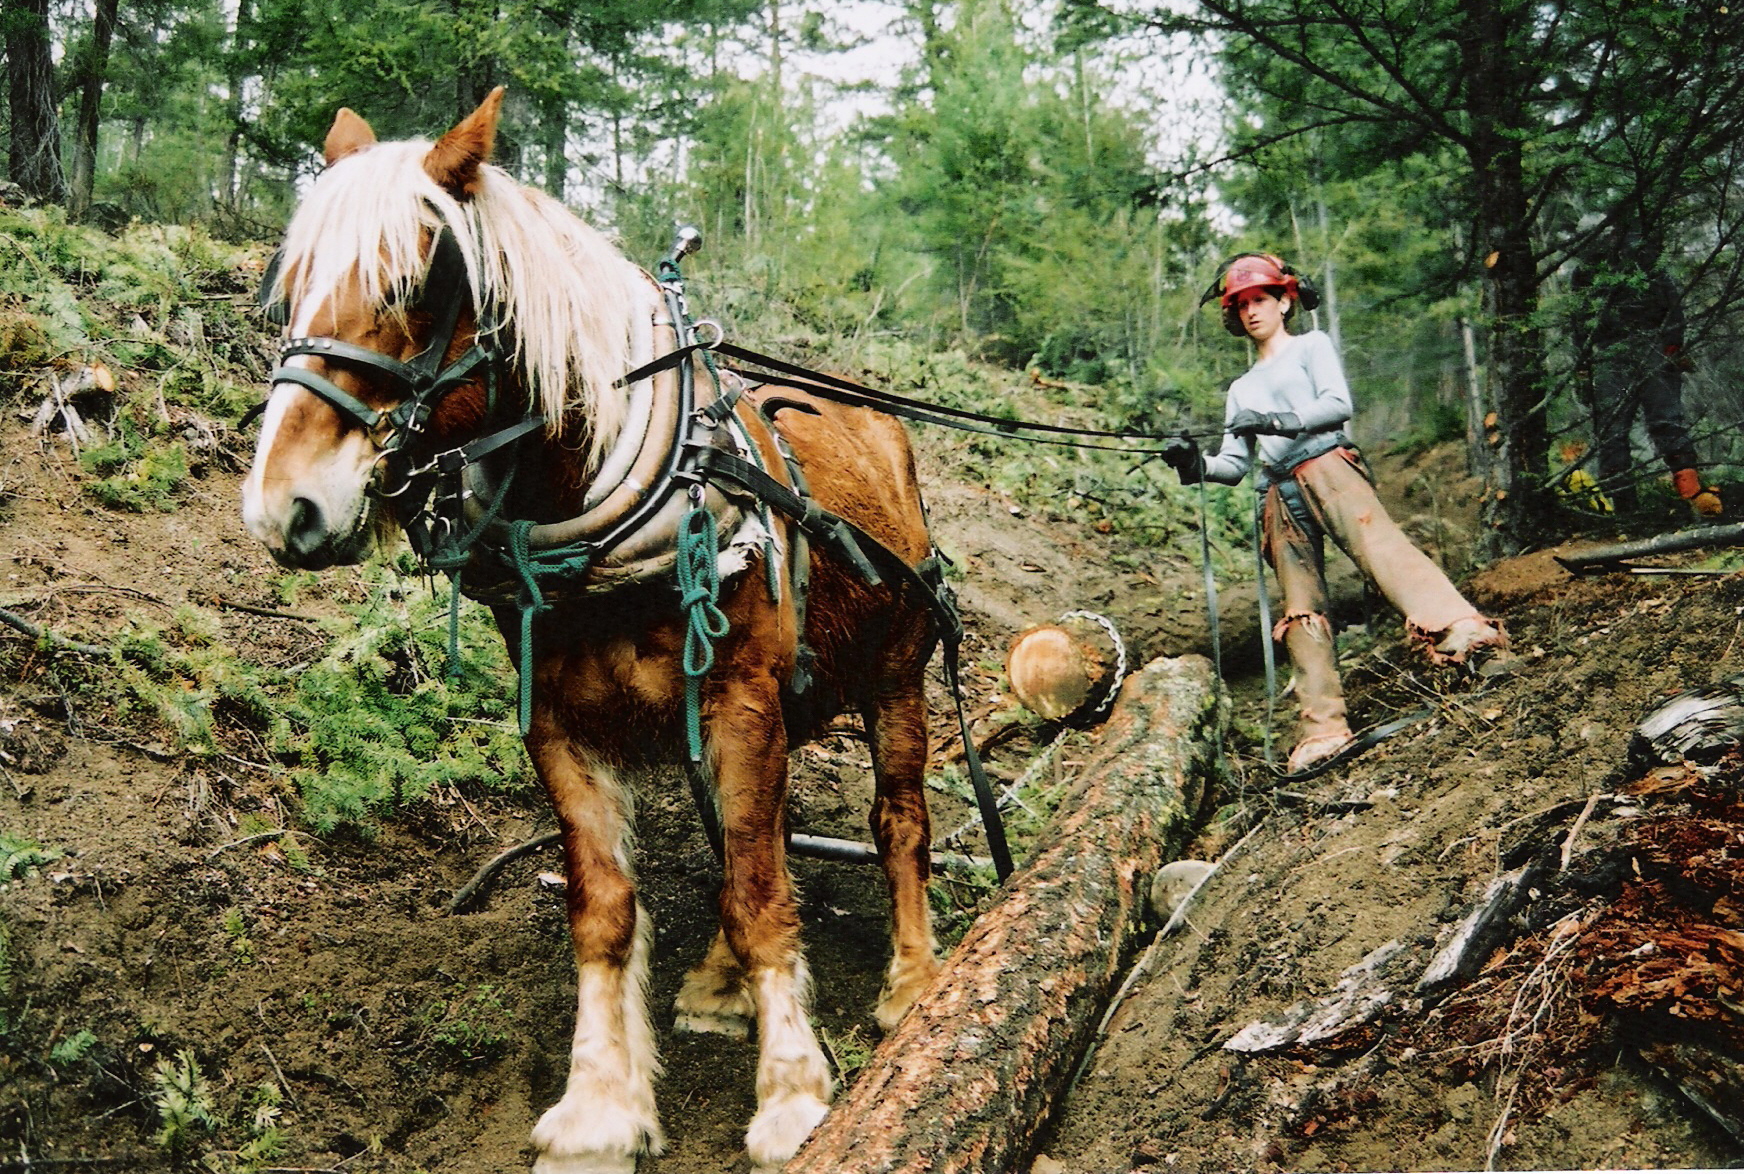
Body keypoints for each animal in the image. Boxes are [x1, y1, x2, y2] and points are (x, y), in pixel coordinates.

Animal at [240, 88, 947, 1173]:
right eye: (292, 292)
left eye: (411, 287)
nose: (285, 507)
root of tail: (873, 420)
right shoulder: (561, 724)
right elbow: (607, 908)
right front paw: (600, 1103)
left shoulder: (742, 704)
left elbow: (758, 893)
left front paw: (791, 1093)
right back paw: (720, 984)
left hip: (897, 672)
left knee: (896, 821)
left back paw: (911, 982)